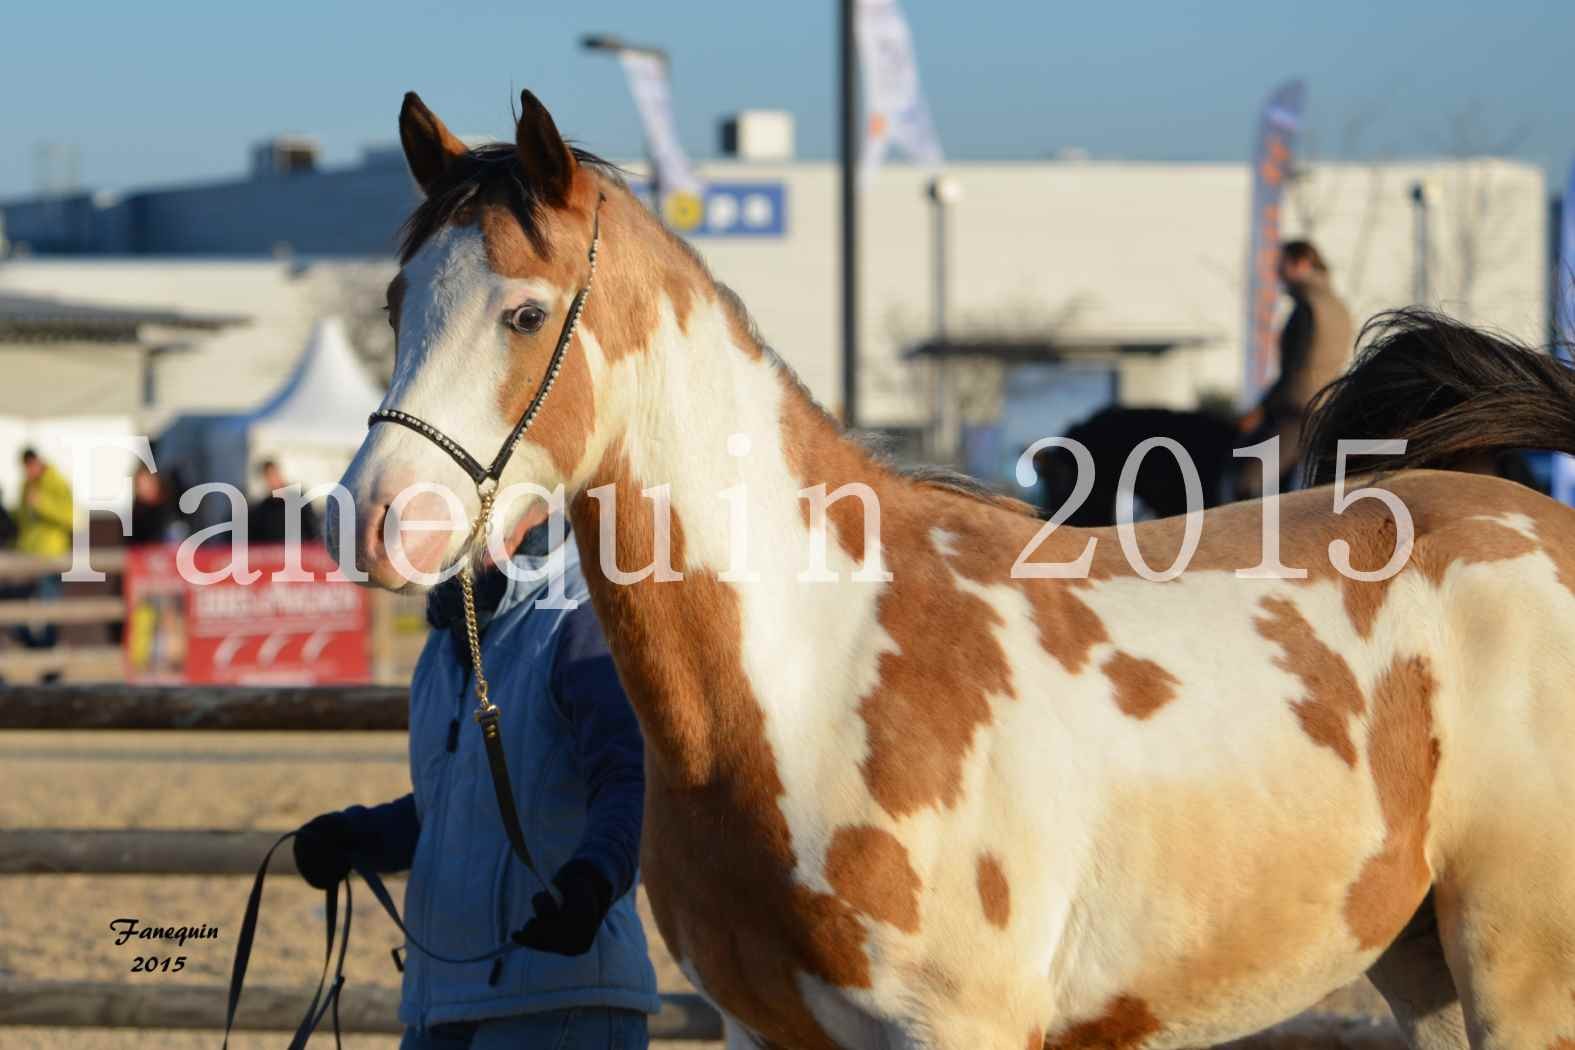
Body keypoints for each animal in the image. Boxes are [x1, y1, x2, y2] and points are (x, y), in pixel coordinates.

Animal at [338, 92, 1575, 1050]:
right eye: (398, 301)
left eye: (524, 312)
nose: (375, 519)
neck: (813, 674)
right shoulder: (763, 1030)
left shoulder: (954, 1024)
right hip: (1422, 968)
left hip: (1519, 971)